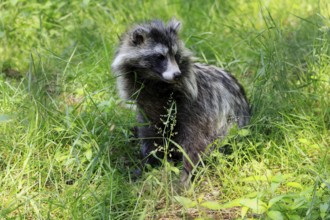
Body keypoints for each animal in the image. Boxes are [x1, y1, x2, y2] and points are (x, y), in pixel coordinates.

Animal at [111, 19, 250, 183]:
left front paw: (187, 171)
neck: (155, 83)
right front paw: (146, 164)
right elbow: (149, 136)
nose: (177, 74)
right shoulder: (146, 108)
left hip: (226, 123)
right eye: (160, 56)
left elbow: (196, 144)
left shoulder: (196, 107)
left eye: (176, 55)